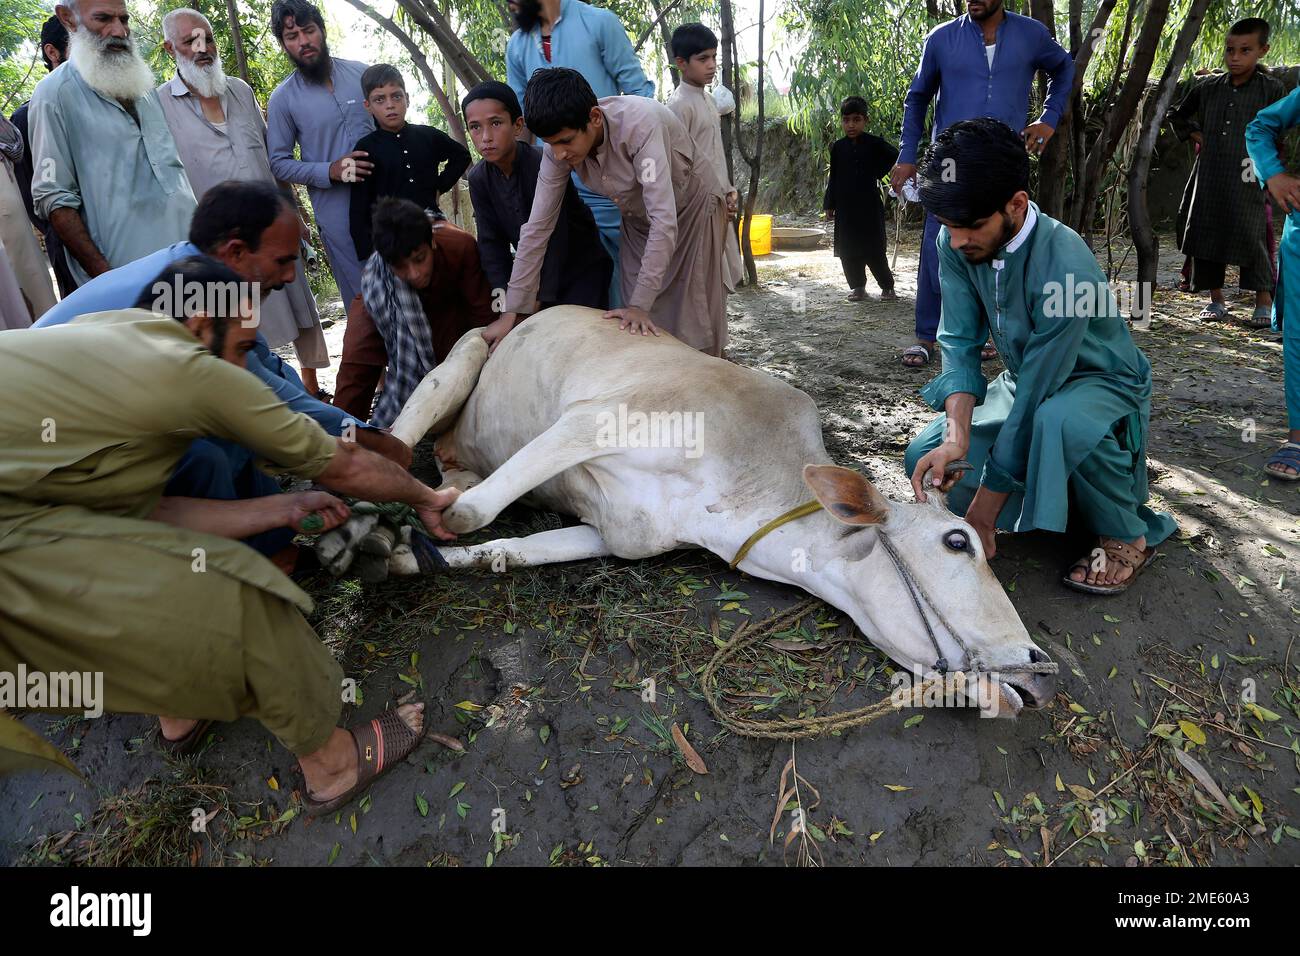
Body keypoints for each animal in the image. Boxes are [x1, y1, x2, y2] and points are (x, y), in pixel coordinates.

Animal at [322, 306, 1055, 717]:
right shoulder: (592, 419)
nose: (1038, 663)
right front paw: (378, 535)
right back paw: (354, 504)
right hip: (471, 352)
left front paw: (405, 556)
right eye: (958, 541)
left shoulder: (617, 534)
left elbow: (504, 548)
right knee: (403, 418)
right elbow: (471, 515)